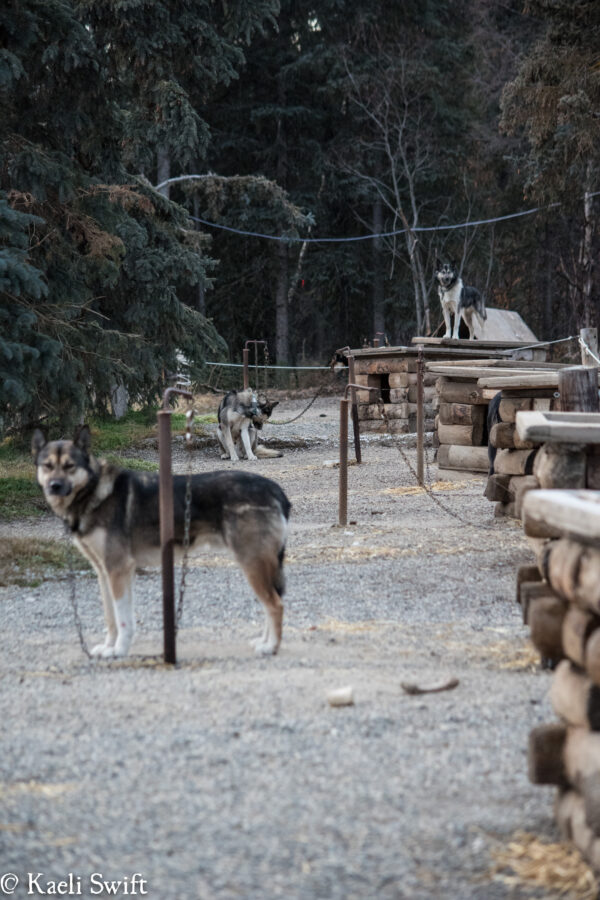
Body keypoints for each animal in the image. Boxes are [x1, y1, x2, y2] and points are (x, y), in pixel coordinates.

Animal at [32, 426, 290, 656]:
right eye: (47, 466)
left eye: (70, 466)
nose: (54, 486)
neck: (93, 492)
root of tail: (274, 488)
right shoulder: (105, 572)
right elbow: (111, 617)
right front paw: (108, 648)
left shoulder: (118, 569)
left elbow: (122, 618)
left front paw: (119, 650)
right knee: (270, 604)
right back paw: (264, 642)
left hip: (252, 563)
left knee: (275, 605)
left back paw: (271, 647)